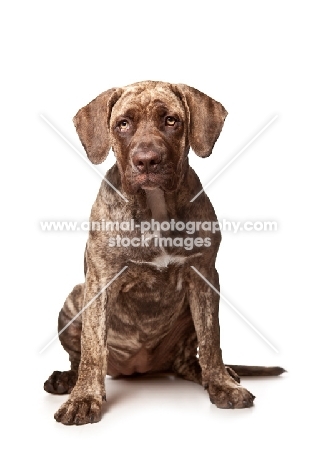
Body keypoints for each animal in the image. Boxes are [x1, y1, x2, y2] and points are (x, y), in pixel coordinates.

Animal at [44, 80, 286, 424]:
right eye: (123, 124)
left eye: (171, 120)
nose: (147, 161)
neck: (154, 204)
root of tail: (139, 369)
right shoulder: (100, 282)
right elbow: (92, 347)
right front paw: (84, 398)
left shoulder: (204, 277)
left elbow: (212, 340)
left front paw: (223, 385)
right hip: (74, 298)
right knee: (80, 358)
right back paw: (66, 380)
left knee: (190, 359)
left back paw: (217, 375)